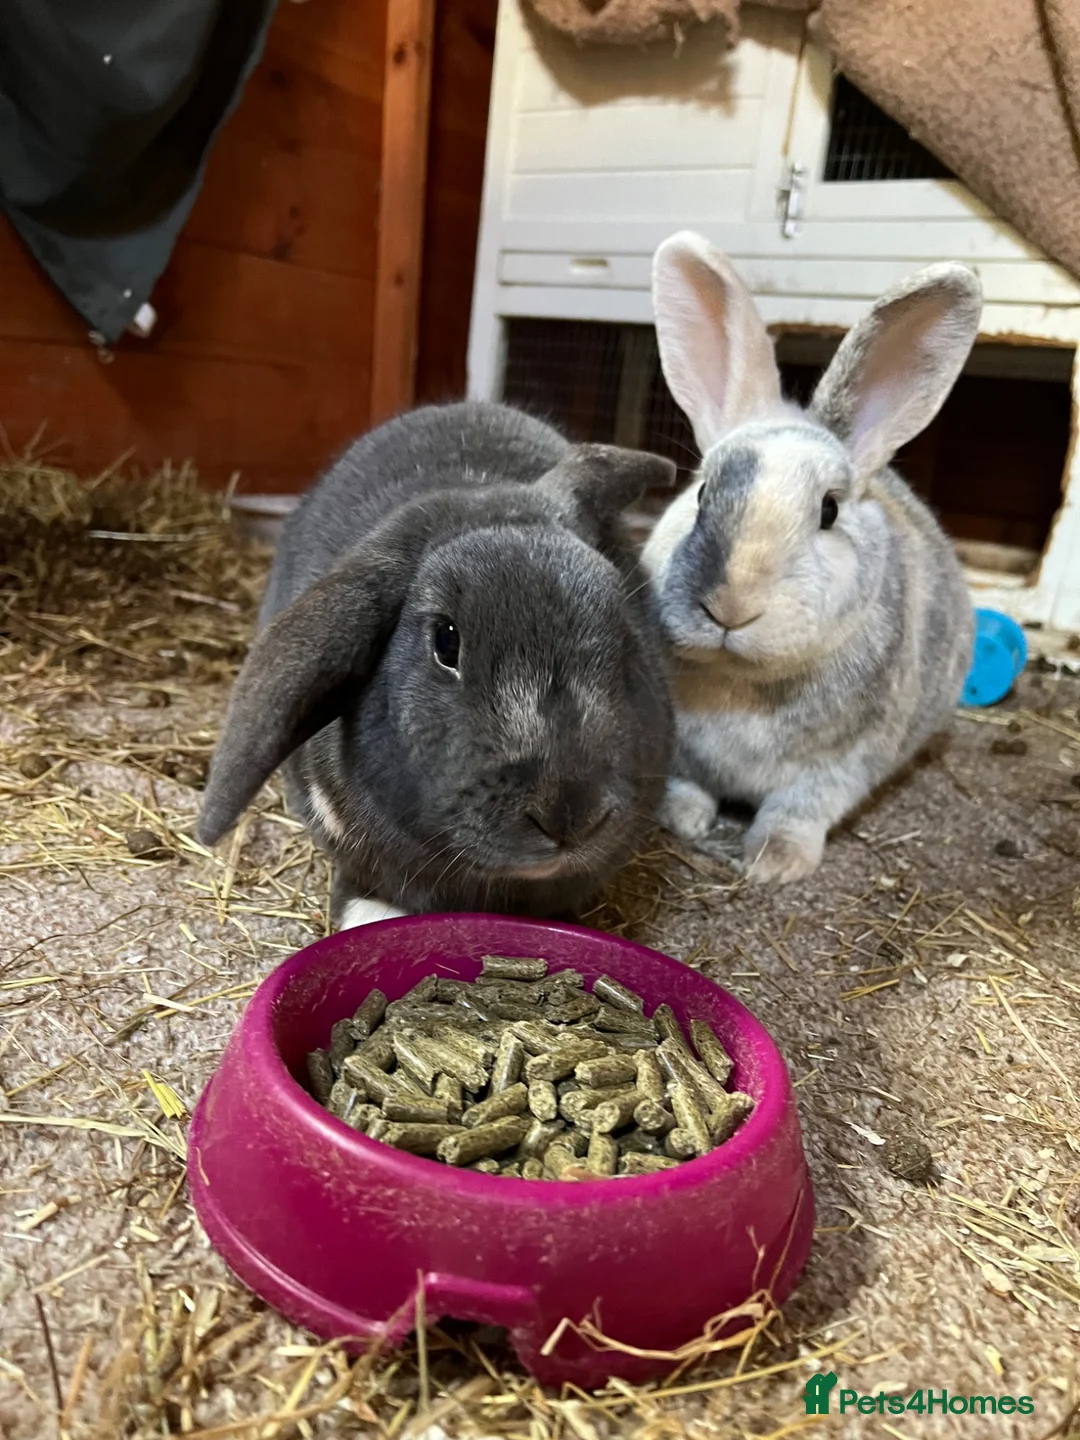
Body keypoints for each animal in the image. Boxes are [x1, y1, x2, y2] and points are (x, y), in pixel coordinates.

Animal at [641, 232, 981, 884]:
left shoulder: (840, 766)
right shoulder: (683, 750)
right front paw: (681, 818)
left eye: (828, 510)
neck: (742, 679)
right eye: (701, 493)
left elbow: (798, 809)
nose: (730, 606)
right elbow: (686, 784)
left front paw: (774, 863)